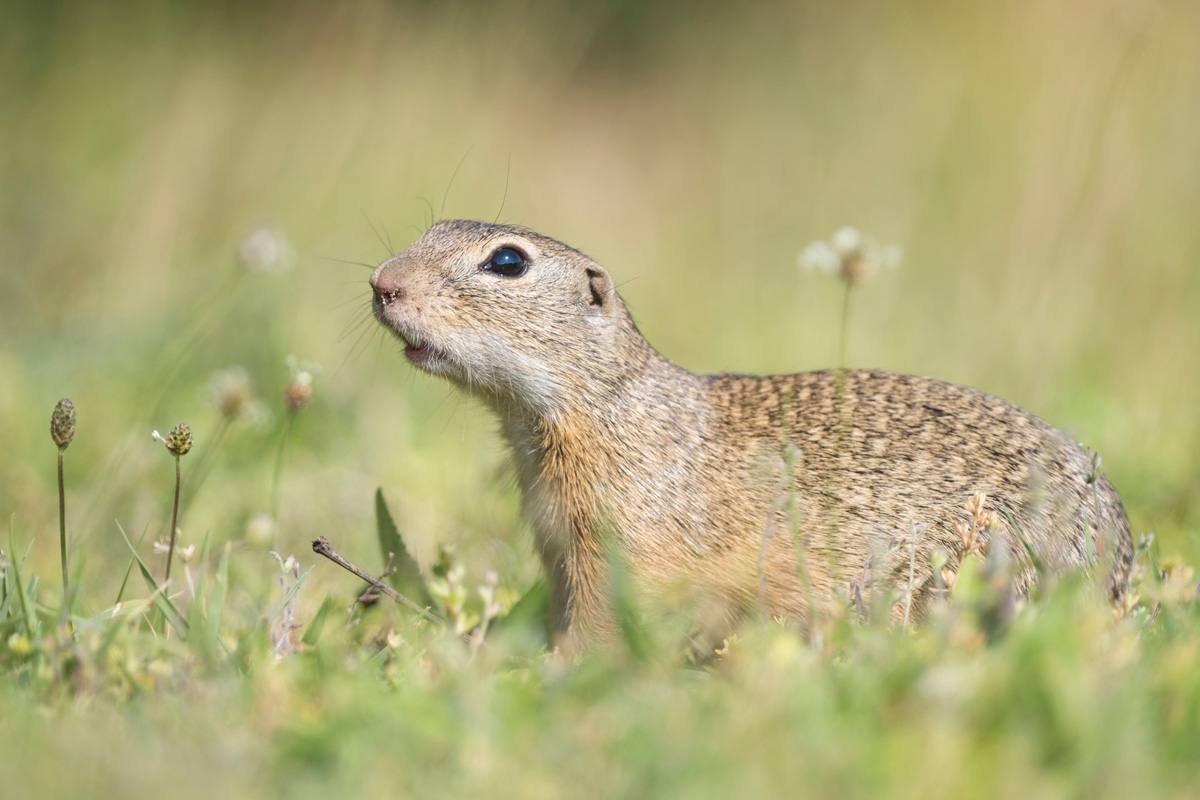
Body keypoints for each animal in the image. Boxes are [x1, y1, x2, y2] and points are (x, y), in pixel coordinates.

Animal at [372, 221, 1132, 652]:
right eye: (433, 225)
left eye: (507, 263)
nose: (383, 282)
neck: (605, 406)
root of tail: (1121, 580)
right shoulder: (562, 550)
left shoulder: (627, 550)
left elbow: (602, 625)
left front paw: (556, 673)